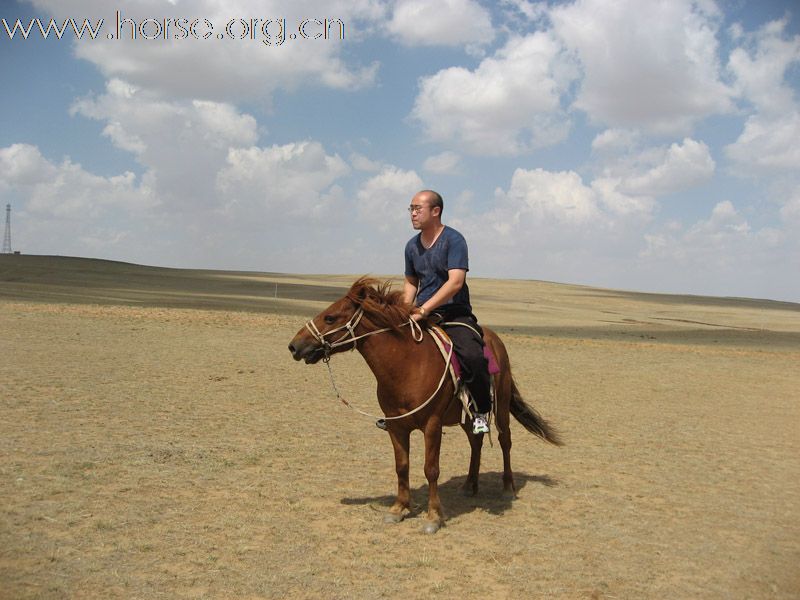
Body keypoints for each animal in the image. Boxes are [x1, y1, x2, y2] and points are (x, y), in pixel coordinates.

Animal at [290, 276, 564, 536]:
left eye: (330, 317)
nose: (294, 345)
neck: (406, 365)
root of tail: (495, 340)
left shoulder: (432, 425)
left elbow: (431, 469)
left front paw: (433, 517)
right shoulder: (396, 426)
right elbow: (402, 466)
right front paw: (399, 508)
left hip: (502, 405)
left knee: (505, 440)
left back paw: (507, 487)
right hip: (467, 416)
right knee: (475, 442)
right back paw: (469, 485)